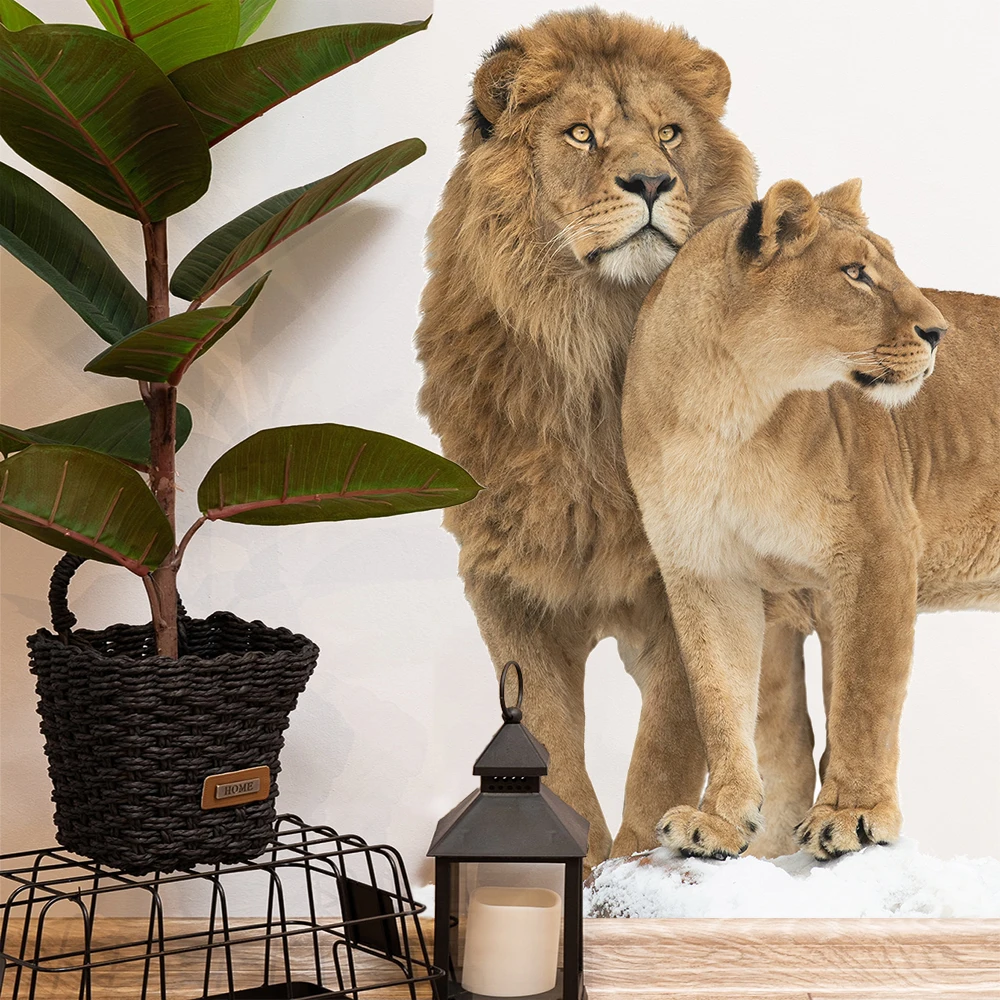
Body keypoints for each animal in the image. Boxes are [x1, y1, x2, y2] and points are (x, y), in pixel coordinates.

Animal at [416, 9, 818, 869]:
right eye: (580, 133)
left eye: (669, 134)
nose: (652, 183)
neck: (598, 340)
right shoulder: (504, 575)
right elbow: (549, 736)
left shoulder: (686, 576)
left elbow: (671, 738)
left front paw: (641, 856)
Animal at [623, 177, 1000, 860]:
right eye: (856, 273)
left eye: (891, 265)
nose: (940, 332)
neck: (726, 414)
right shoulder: (707, 572)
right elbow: (722, 698)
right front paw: (719, 821)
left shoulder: (878, 552)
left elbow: (862, 698)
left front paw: (852, 816)